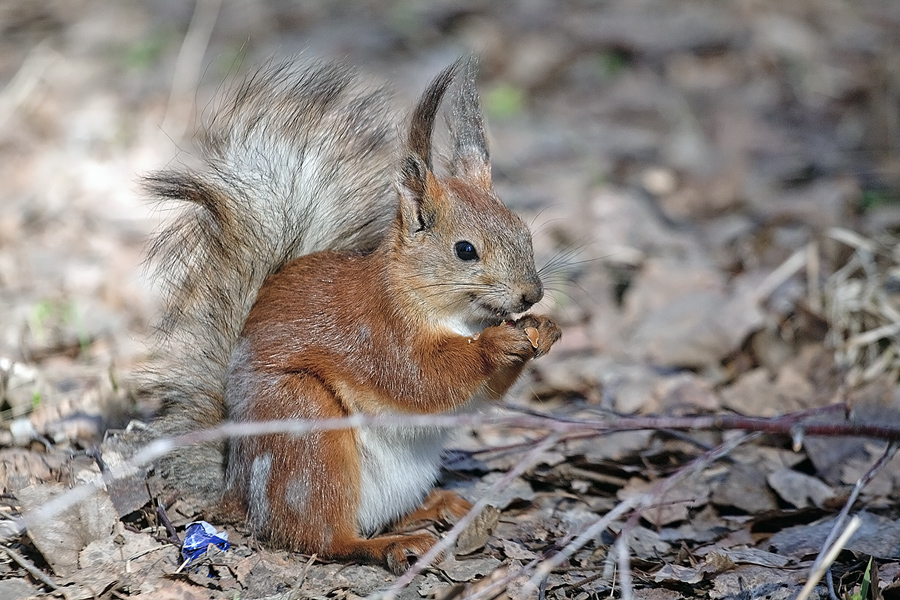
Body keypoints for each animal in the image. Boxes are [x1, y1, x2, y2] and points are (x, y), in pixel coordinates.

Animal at [144, 58, 560, 576]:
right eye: (465, 250)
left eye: (523, 230)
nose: (531, 294)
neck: (451, 316)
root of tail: (240, 494)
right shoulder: (376, 334)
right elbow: (424, 378)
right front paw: (495, 344)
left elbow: (479, 395)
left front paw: (543, 330)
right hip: (308, 435)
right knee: (321, 537)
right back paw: (386, 546)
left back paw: (440, 506)